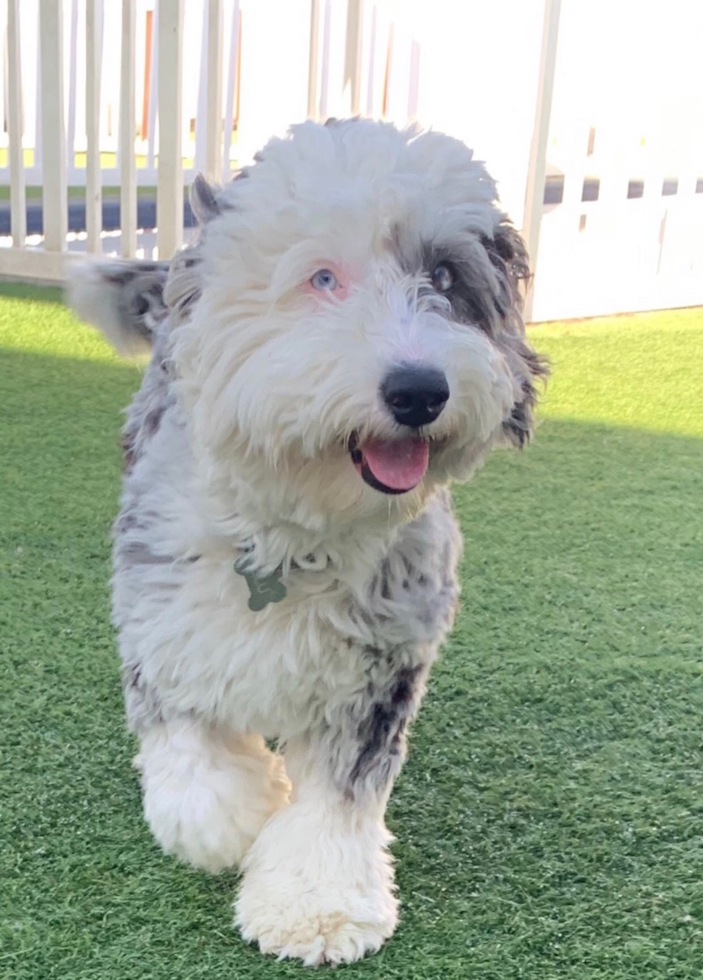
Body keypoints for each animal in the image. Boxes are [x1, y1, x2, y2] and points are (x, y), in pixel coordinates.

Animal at [67, 120, 552, 964]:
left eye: (446, 277)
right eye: (321, 278)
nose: (418, 389)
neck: (296, 533)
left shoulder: (383, 663)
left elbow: (338, 799)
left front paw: (315, 904)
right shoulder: (161, 616)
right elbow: (193, 764)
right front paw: (237, 817)